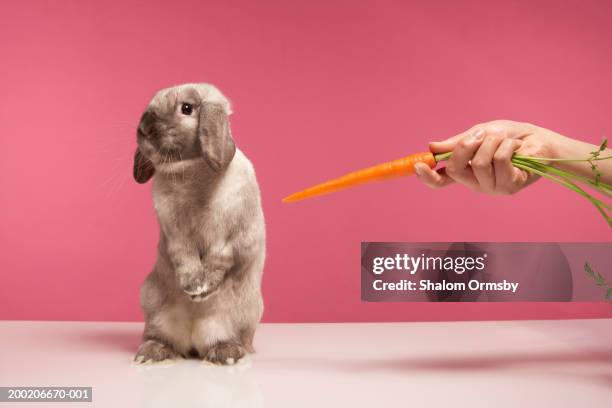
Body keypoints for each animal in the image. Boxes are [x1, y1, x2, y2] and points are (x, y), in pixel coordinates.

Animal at [131, 81, 266, 364]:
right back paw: (152, 352)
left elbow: (220, 259)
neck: (192, 173)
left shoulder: (236, 237)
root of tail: (193, 342)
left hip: (242, 315)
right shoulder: (174, 233)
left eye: (187, 108)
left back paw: (226, 353)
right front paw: (192, 284)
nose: (144, 127)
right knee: (161, 337)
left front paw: (201, 290)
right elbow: (184, 255)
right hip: (153, 306)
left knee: (228, 339)